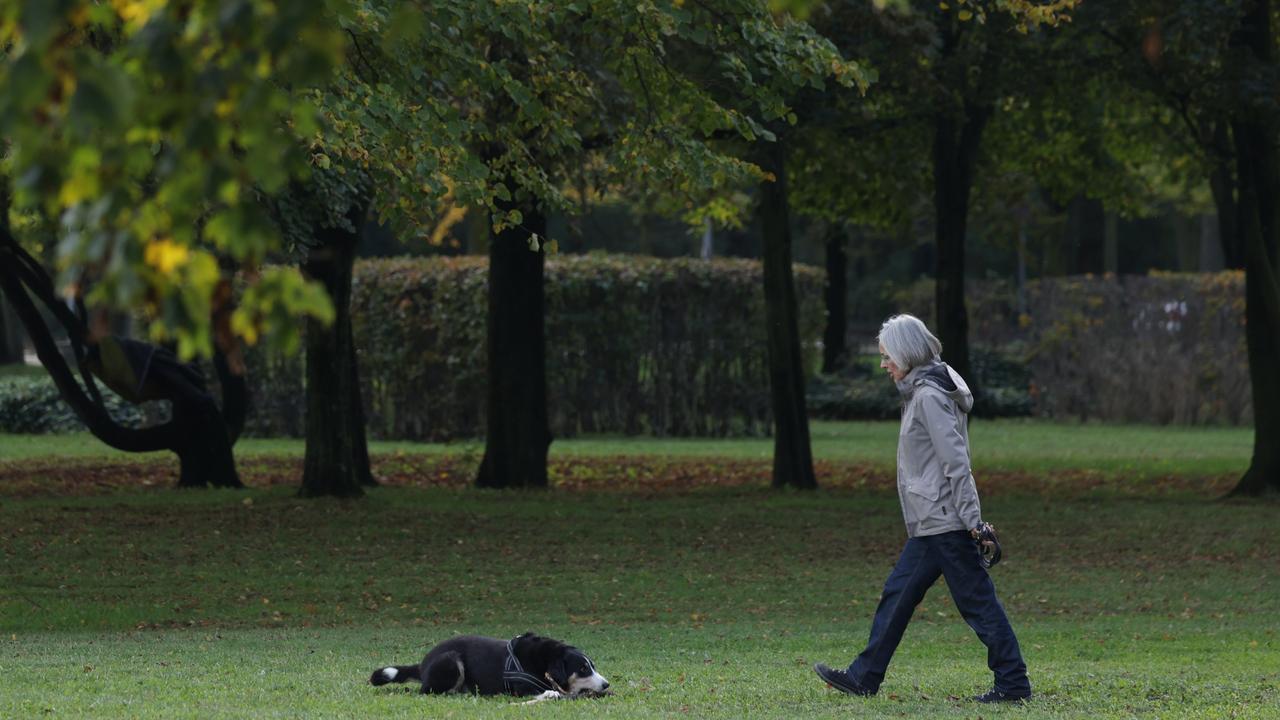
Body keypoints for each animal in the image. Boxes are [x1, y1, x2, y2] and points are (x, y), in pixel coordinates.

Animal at [371, 630, 609, 696]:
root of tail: (423, 664)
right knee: (428, 691)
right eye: (582, 669)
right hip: (451, 659)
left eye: (592, 666)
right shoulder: (521, 689)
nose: (607, 684)